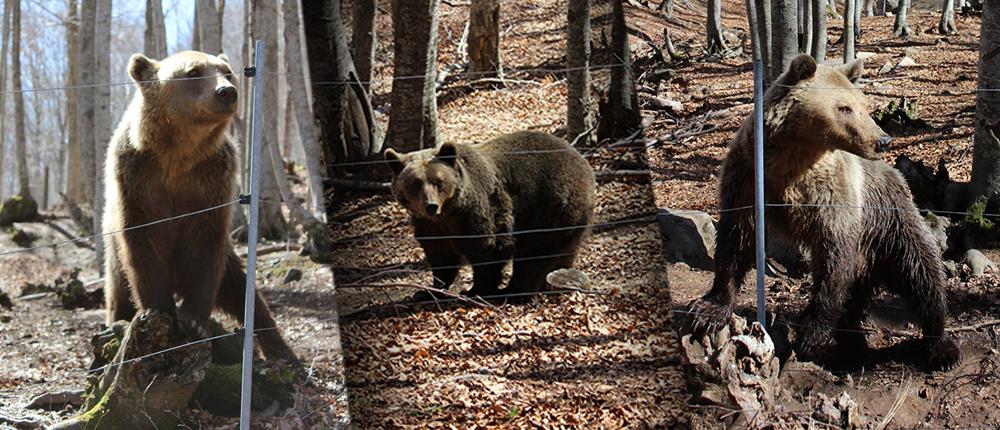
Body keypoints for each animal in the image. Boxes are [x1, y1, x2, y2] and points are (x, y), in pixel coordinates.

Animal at [103, 49, 294, 360]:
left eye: (227, 72)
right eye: (193, 72)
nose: (227, 91)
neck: (178, 156)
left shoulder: (211, 181)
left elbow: (204, 245)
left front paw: (194, 321)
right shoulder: (138, 180)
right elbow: (143, 240)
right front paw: (158, 309)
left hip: (228, 259)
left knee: (241, 289)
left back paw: (280, 350)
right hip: (113, 259)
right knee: (118, 292)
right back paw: (115, 323)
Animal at [384, 131, 592, 302]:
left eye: (438, 181)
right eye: (415, 183)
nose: (431, 206)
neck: (448, 213)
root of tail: (580, 159)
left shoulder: (479, 211)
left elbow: (488, 247)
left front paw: (475, 290)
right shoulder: (430, 225)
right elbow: (440, 256)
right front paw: (427, 291)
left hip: (550, 208)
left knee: (534, 254)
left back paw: (514, 291)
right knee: (564, 250)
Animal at [688, 53, 960, 370]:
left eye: (863, 105)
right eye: (845, 107)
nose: (882, 140)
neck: (793, 159)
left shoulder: (833, 198)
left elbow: (833, 255)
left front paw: (812, 334)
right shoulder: (747, 178)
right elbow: (736, 240)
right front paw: (708, 310)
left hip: (891, 221)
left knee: (921, 272)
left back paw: (941, 347)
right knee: (860, 296)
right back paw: (852, 344)